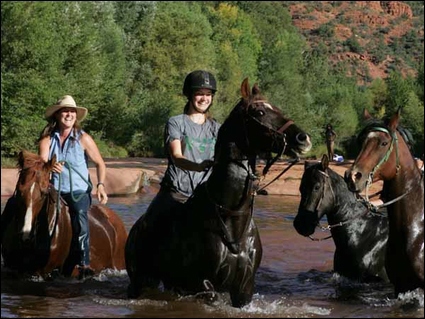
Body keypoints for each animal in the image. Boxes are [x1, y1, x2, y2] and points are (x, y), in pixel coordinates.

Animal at [124, 77, 314, 308]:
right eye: (259, 112)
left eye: (277, 108)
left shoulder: (244, 288)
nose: (303, 138)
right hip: (141, 280)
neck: (231, 218)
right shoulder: (202, 284)